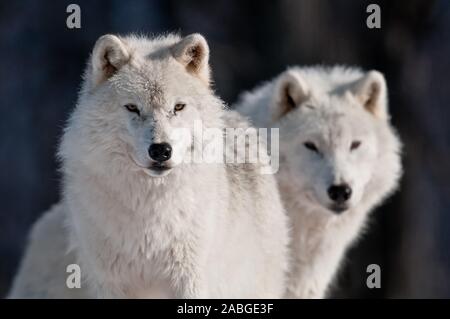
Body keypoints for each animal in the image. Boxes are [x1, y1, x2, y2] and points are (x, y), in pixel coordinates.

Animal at [9, 33, 288, 300]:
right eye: (132, 107)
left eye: (178, 107)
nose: (161, 150)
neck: (149, 209)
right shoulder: (110, 283)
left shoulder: (190, 279)